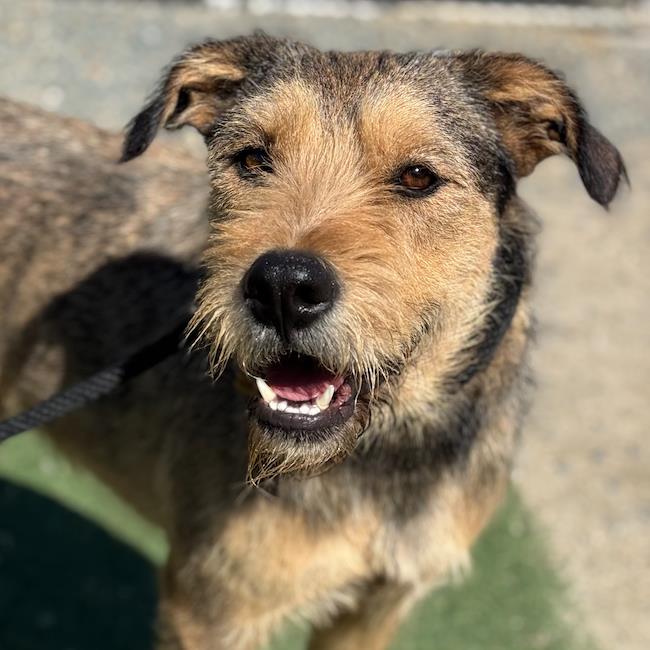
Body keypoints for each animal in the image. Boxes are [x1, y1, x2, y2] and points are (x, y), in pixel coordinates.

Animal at [0, 33, 625, 650]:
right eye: (253, 159)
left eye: (418, 177)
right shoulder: (208, 610)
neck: (383, 455)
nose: (281, 287)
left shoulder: (373, 608)